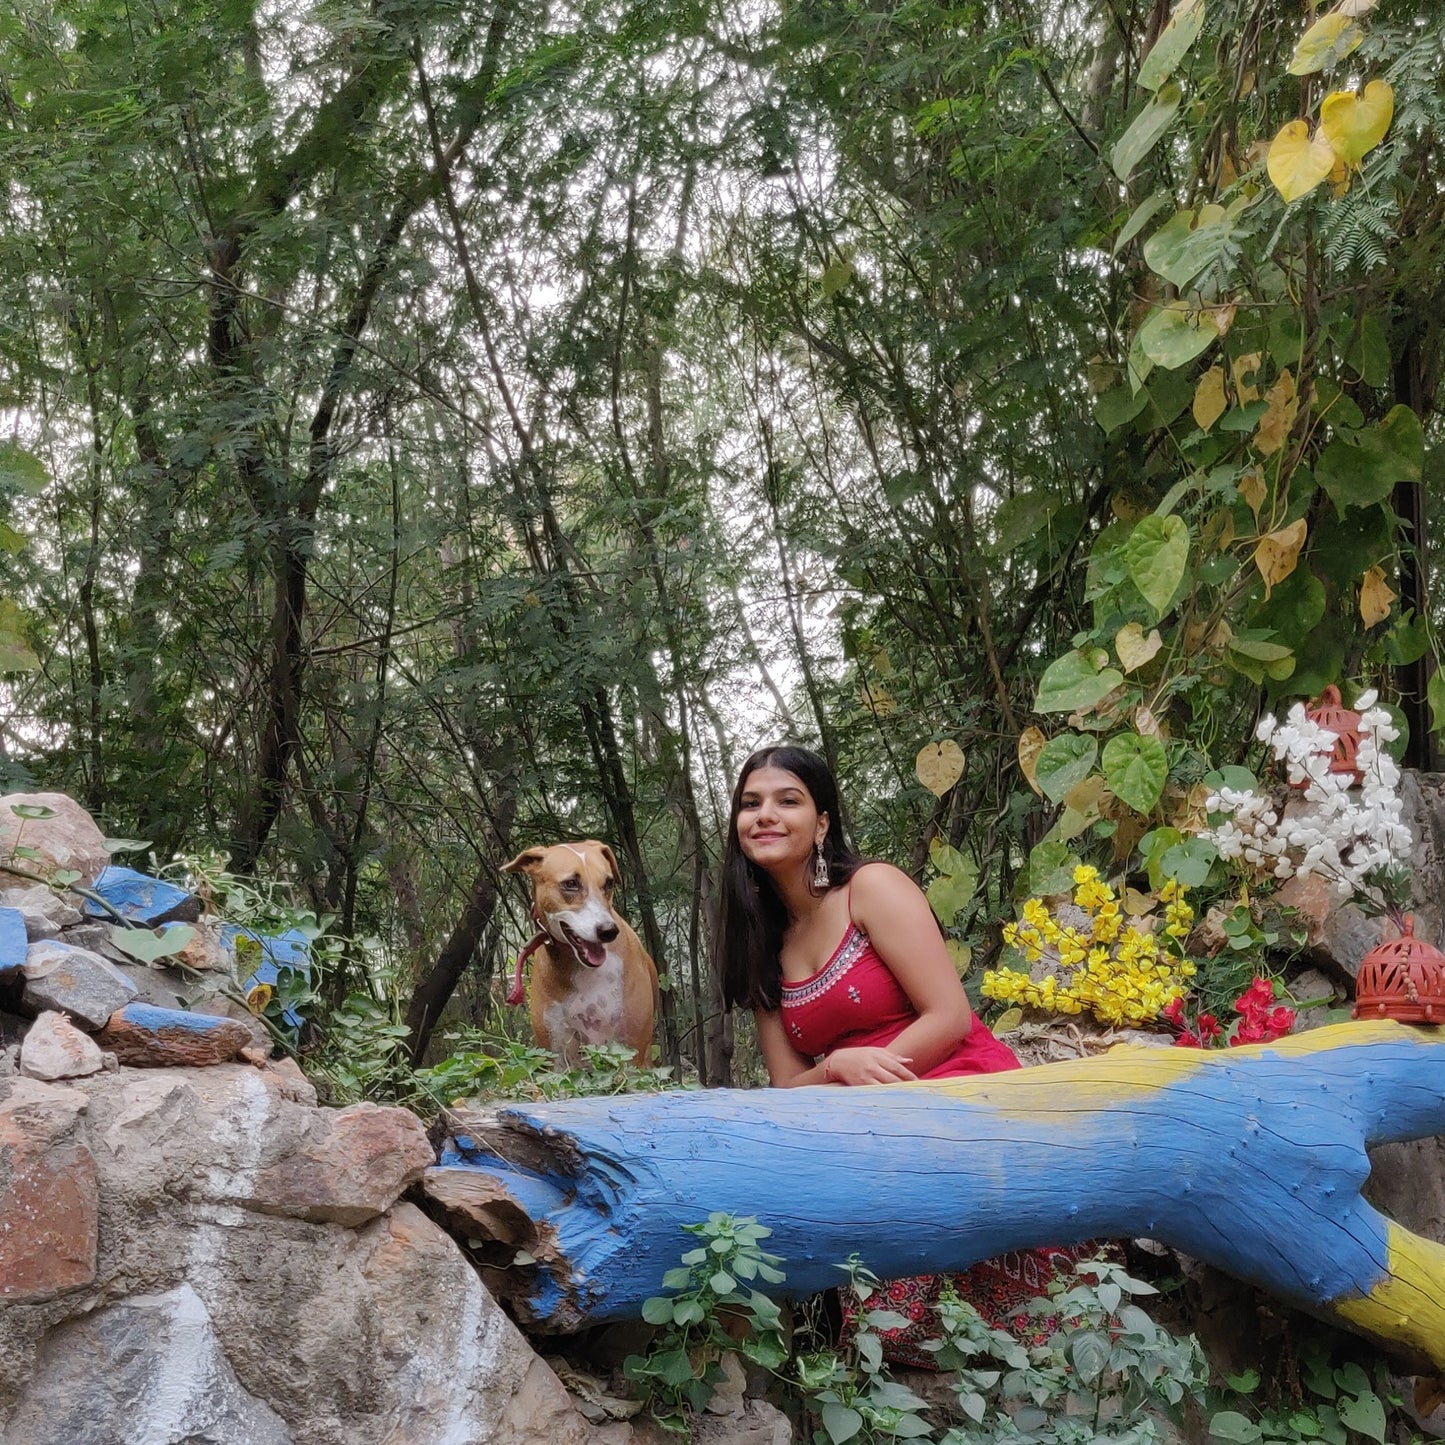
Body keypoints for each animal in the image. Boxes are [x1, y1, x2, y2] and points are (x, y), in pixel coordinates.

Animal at [497, 843, 656, 1069]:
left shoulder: (631, 1053)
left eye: (608, 882)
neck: (585, 972)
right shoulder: (558, 1054)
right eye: (571, 883)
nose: (608, 931)